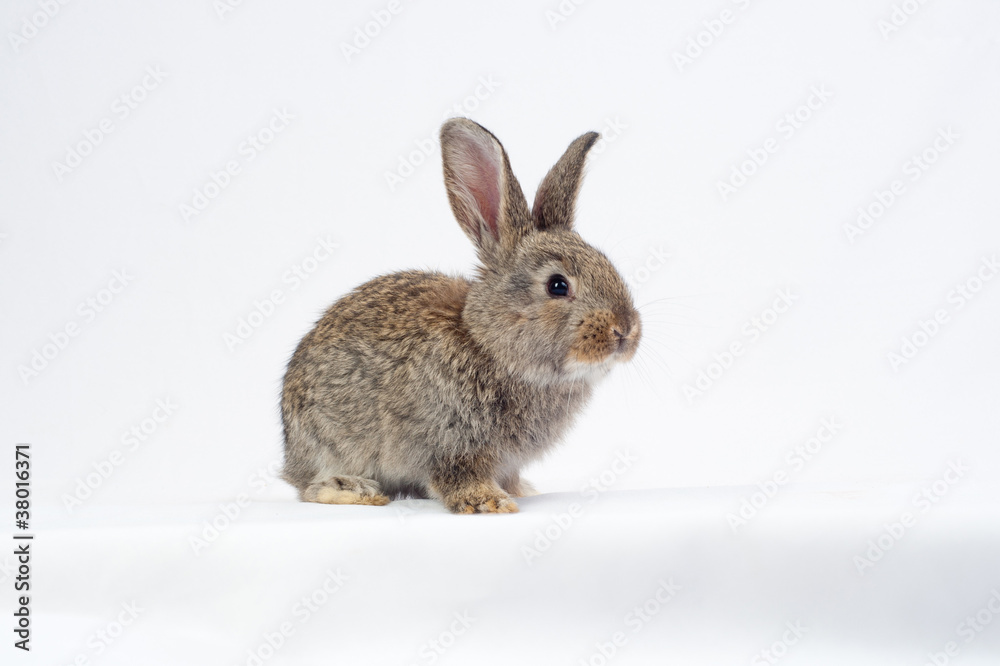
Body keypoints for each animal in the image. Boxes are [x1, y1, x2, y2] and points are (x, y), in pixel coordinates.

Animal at [280, 118, 641, 514]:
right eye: (557, 286)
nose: (625, 330)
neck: (488, 345)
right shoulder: (448, 442)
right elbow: (457, 475)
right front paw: (490, 502)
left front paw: (520, 491)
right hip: (326, 442)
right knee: (310, 487)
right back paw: (356, 490)